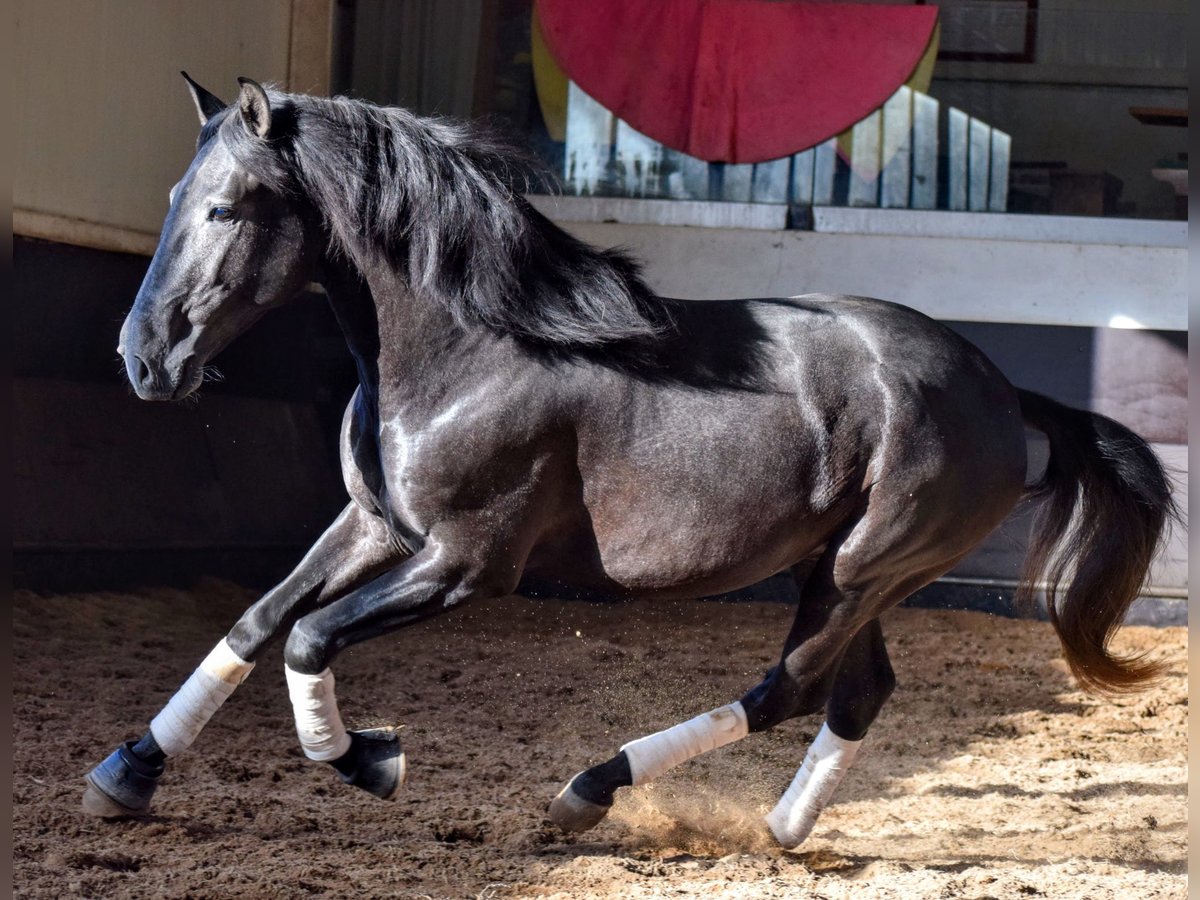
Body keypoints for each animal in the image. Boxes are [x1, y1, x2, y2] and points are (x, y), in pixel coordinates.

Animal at [84, 72, 1171, 854]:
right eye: (179, 197)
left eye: (228, 209)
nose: (142, 359)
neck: (466, 352)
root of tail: (1003, 391)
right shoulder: (372, 526)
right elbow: (258, 619)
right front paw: (126, 774)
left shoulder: (467, 565)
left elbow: (310, 637)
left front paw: (371, 762)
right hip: (842, 567)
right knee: (855, 693)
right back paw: (779, 832)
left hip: (869, 565)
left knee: (788, 690)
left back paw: (588, 794)